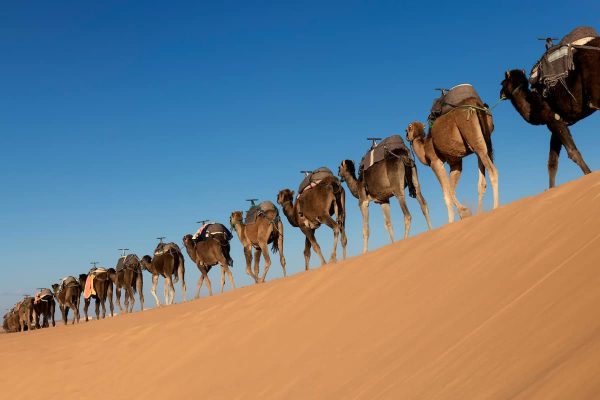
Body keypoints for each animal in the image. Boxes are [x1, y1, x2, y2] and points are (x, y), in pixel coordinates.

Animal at [502, 37, 596, 188]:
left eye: (502, 83)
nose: (501, 94)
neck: (534, 105)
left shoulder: (553, 120)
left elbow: (572, 152)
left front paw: (589, 174)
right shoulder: (556, 123)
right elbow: (552, 163)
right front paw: (551, 190)